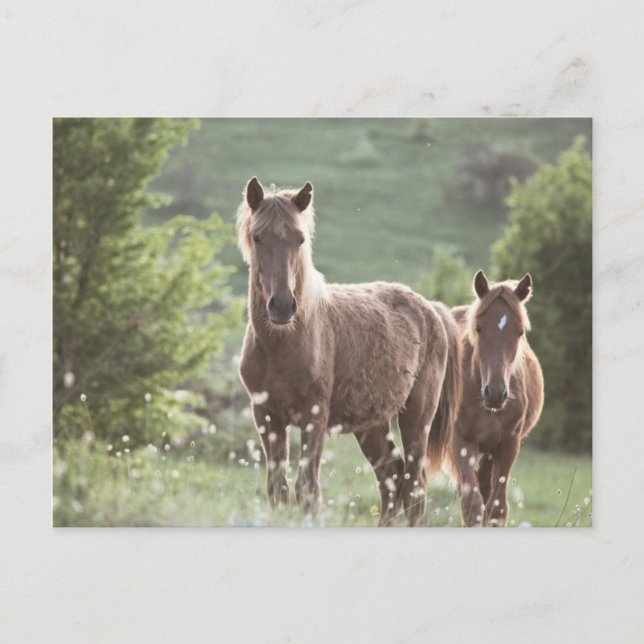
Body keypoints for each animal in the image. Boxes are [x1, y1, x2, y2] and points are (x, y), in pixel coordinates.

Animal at [236, 177, 462, 526]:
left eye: (300, 238)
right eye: (258, 237)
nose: (283, 306)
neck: (282, 344)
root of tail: (432, 310)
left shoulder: (314, 415)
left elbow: (307, 488)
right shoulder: (266, 415)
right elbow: (278, 488)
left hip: (416, 418)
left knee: (414, 488)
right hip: (371, 424)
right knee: (391, 477)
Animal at [450, 270, 544, 527]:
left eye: (520, 331)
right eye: (479, 328)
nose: (495, 393)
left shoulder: (508, 445)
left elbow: (496, 508)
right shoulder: (461, 442)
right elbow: (472, 505)